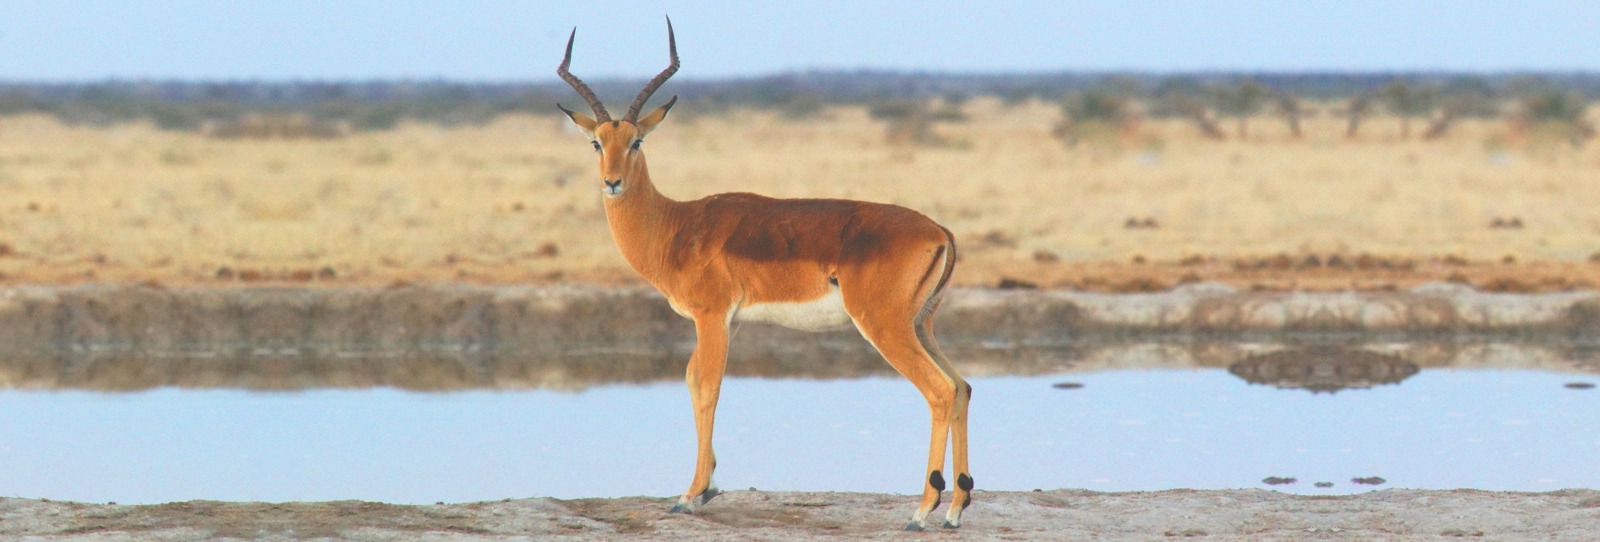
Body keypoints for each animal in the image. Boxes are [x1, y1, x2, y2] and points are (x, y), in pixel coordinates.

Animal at [555, 18, 973, 530]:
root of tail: (938, 230)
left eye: (637, 141)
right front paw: (708, 487)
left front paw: (691, 494)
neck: (676, 227)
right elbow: (693, 378)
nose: (611, 182)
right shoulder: (727, 321)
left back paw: (922, 510)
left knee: (939, 391)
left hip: (885, 326)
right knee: (961, 387)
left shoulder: (712, 316)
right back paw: (955, 508)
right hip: (922, 324)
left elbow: (708, 384)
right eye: (598, 142)